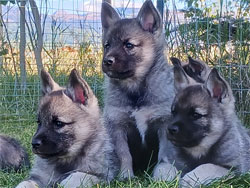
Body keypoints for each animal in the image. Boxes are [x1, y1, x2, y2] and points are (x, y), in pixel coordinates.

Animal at [100, 0, 177, 179]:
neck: (135, 89)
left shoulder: (163, 123)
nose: (107, 61)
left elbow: (164, 153)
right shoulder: (118, 126)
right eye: (107, 45)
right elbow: (124, 154)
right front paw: (126, 175)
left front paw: (163, 173)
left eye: (129, 45)